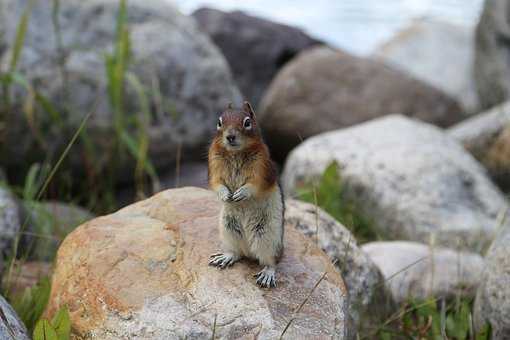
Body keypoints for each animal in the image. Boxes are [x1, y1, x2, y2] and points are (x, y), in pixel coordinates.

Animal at [208, 102, 286, 288]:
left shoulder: (262, 168)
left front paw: (241, 193)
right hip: (228, 229)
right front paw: (225, 195)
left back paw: (267, 274)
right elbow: (216, 183)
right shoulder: (214, 165)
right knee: (237, 253)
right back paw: (225, 257)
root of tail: (250, 251)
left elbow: (255, 185)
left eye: (247, 122)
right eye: (219, 122)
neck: (235, 152)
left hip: (267, 236)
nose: (230, 136)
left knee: (270, 262)